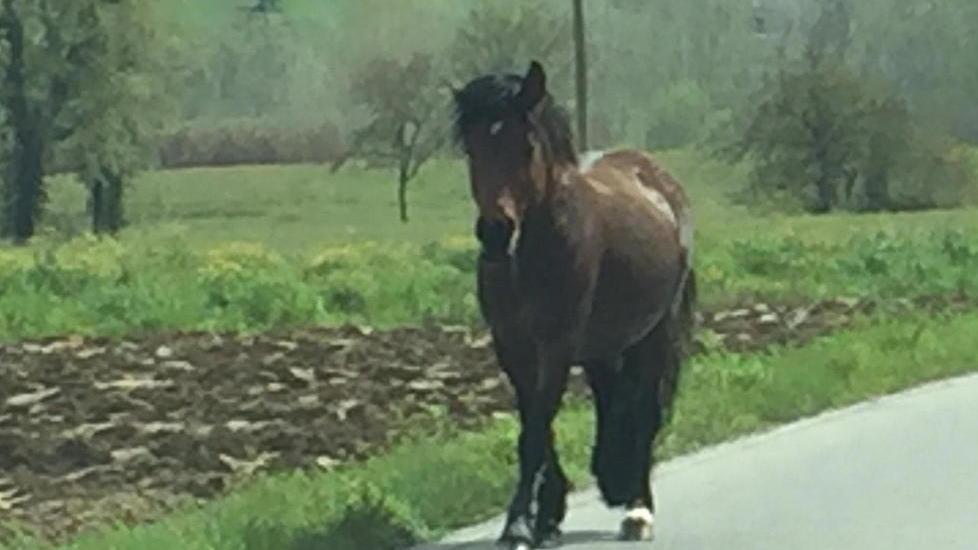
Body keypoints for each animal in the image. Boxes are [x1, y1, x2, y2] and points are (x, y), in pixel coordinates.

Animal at [451, 60, 697, 549]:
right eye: (471, 147)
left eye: (525, 144)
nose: (495, 233)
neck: (529, 253)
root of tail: (659, 183)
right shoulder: (512, 347)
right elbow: (535, 424)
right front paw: (547, 514)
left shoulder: (557, 344)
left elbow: (535, 430)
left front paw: (518, 525)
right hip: (604, 343)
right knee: (612, 400)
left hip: (656, 332)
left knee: (645, 409)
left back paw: (637, 509)